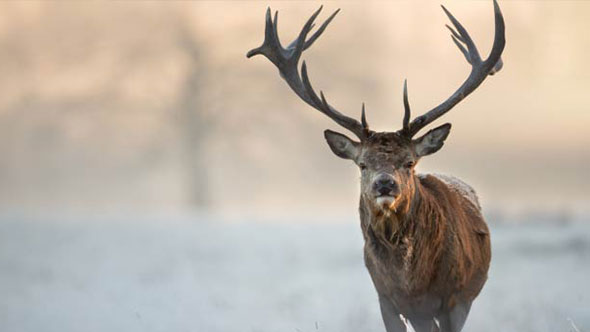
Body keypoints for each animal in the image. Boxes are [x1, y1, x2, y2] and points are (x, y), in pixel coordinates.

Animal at [247, 1, 506, 330]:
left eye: (409, 162)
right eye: (362, 164)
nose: (385, 183)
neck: (411, 282)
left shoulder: (455, 299)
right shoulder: (386, 299)